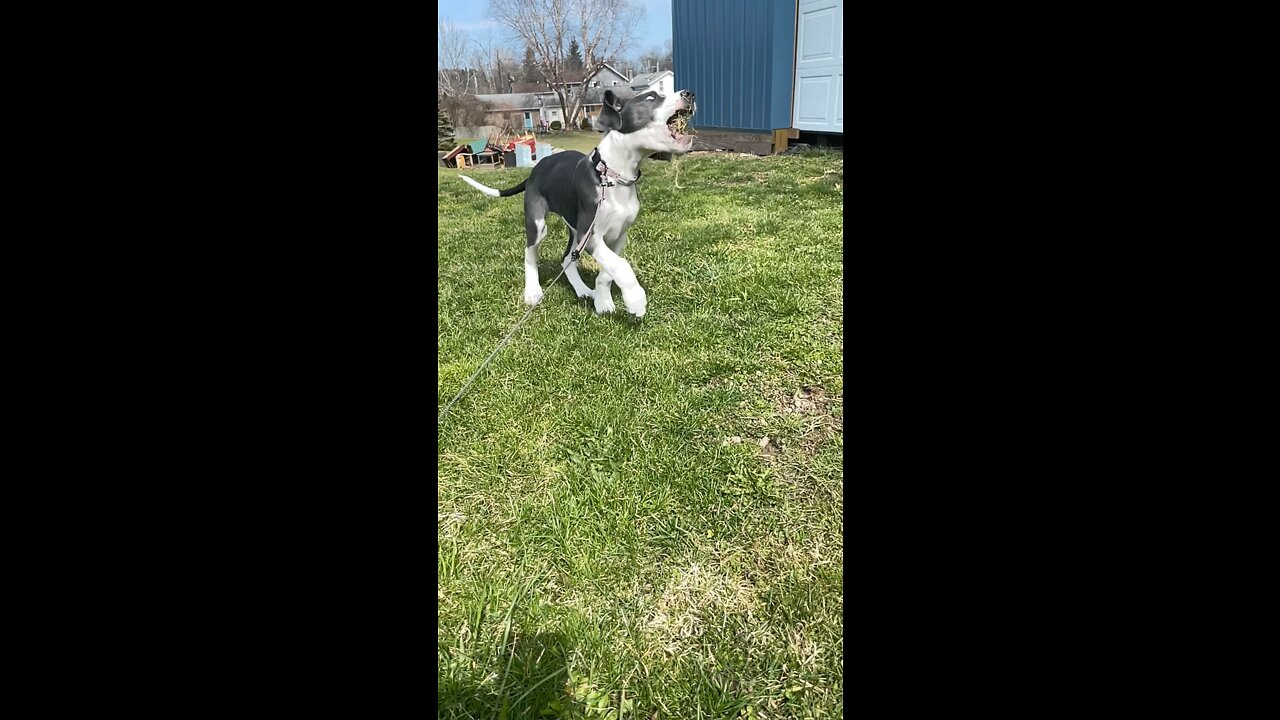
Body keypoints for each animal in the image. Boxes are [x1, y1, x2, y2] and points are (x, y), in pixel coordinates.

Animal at [463, 87, 701, 316]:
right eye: (651, 97)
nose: (689, 93)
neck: (612, 176)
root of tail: (536, 168)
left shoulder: (618, 236)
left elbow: (609, 270)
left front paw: (603, 301)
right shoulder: (592, 235)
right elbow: (622, 266)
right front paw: (635, 300)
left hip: (576, 232)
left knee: (566, 258)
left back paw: (583, 290)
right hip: (539, 224)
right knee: (530, 253)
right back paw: (532, 292)